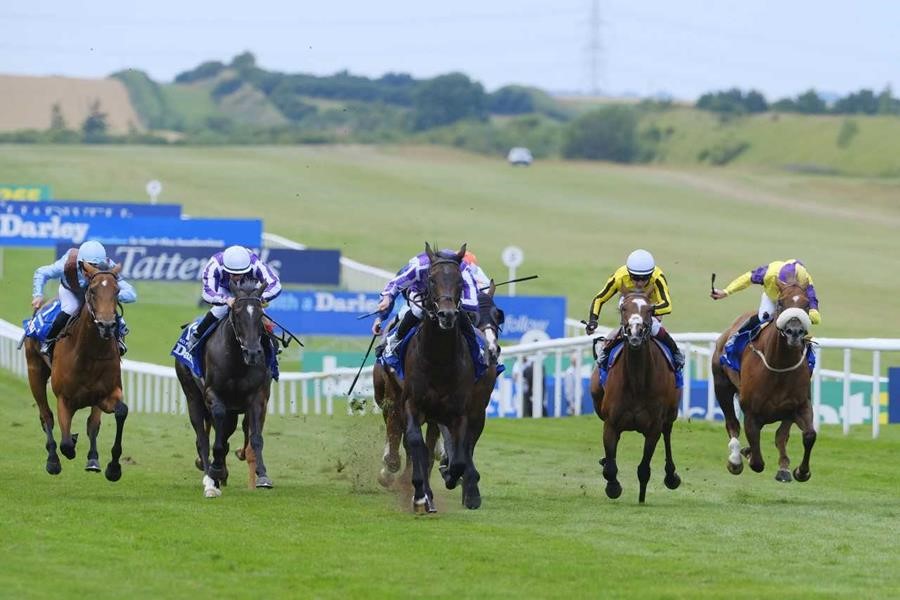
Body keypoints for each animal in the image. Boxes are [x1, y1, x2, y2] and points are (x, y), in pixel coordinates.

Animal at [24, 264, 128, 480]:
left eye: (117, 291)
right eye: (93, 290)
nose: (107, 325)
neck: (90, 353)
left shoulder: (105, 394)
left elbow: (117, 413)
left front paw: (113, 467)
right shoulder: (64, 399)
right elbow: (65, 443)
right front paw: (65, 448)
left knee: (91, 424)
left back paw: (92, 457)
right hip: (34, 372)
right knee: (46, 416)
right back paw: (53, 459)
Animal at [176, 282, 272, 496]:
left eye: (260, 313)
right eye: (236, 312)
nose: (253, 353)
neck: (237, 361)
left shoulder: (257, 398)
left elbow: (256, 437)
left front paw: (262, 475)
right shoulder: (213, 394)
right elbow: (217, 437)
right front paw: (215, 471)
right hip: (192, 396)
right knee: (202, 439)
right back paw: (209, 478)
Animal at [588, 290, 680, 502]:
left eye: (650, 310)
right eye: (623, 308)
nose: (635, 334)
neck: (637, 383)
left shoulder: (654, 427)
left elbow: (644, 468)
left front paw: (641, 497)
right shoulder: (611, 423)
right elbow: (611, 466)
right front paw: (613, 486)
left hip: (671, 414)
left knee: (668, 435)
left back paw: (671, 476)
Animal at [712, 282, 820, 482]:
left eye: (807, 304)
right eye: (781, 303)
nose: (794, 332)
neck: (779, 366)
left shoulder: (799, 405)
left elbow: (808, 435)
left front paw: (801, 471)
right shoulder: (751, 413)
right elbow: (757, 462)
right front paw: (746, 454)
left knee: (781, 435)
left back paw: (783, 467)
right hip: (721, 386)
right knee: (732, 423)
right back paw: (736, 459)